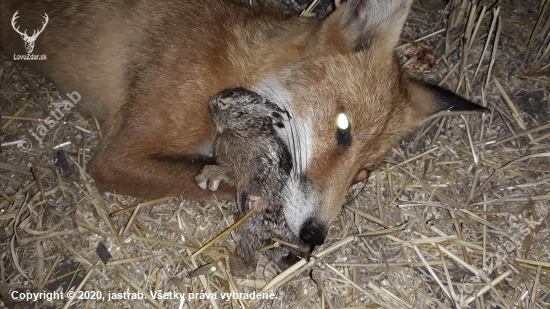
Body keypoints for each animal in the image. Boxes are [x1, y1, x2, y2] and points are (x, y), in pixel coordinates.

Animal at [2, 0, 490, 245]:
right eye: (343, 128)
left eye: (364, 175)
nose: (315, 236)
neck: (234, 64)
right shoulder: (116, 157)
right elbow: (222, 181)